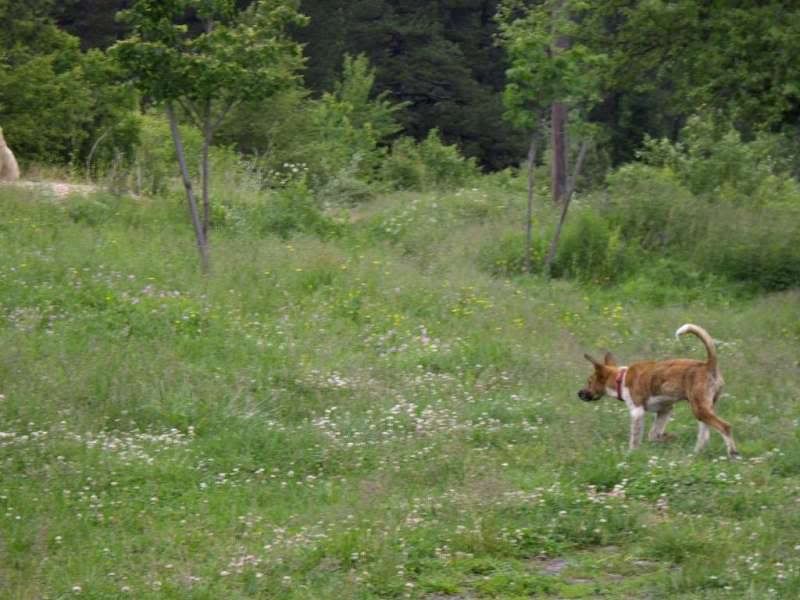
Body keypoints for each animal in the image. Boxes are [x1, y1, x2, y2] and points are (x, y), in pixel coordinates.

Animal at [580, 324, 740, 460]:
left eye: (589, 381)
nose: (579, 393)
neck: (621, 378)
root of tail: (708, 364)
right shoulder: (665, 410)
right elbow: (654, 434)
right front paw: (668, 437)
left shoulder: (637, 412)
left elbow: (635, 439)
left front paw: (631, 455)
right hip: (704, 410)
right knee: (704, 437)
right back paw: (695, 455)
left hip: (699, 409)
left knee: (725, 427)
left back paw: (733, 453)